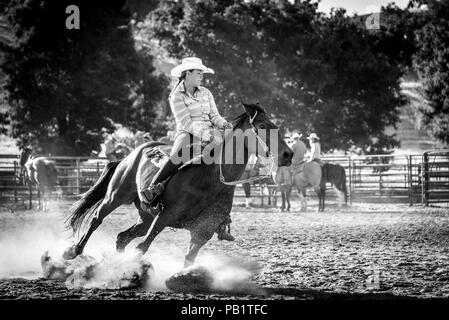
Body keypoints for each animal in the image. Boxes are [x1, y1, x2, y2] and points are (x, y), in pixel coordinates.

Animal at [64, 104, 294, 266]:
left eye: (276, 126)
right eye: (262, 126)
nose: (288, 154)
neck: (211, 179)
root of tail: (131, 154)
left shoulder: (203, 230)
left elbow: (189, 259)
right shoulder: (165, 216)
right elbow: (142, 248)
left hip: (146, 216)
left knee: (122, 237)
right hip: (116, 196)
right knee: (96, 219)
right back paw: (73, 251)